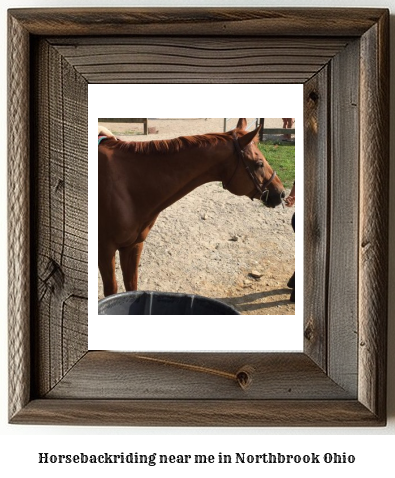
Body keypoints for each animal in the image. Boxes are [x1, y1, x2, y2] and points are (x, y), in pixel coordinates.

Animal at [98, 117, 284, 296]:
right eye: (259, 163)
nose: (281, 193)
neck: (127, 184)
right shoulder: (105, 251)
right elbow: (111, 290)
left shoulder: (133, 246)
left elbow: (131, 286)